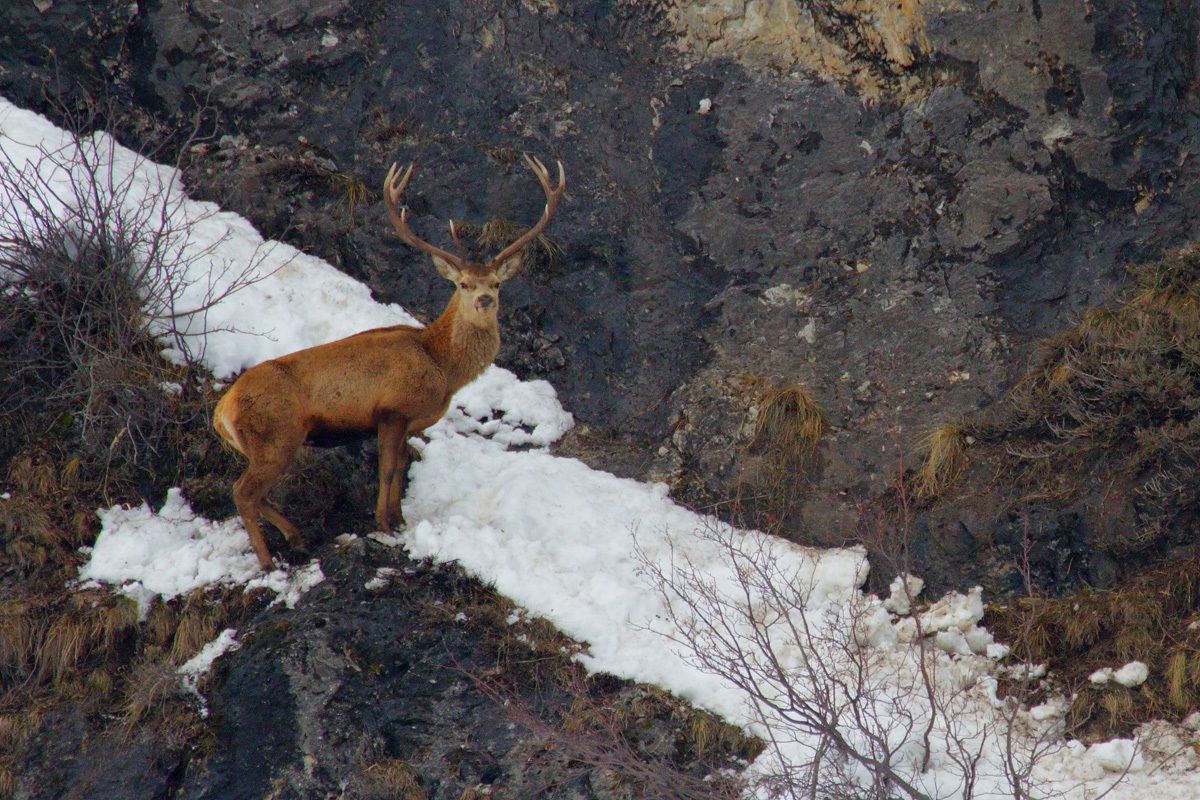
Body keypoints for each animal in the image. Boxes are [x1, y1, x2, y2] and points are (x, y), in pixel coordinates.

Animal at [212, 154, 565, 570]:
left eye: (496, 283)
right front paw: (383, 522)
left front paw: (399, 519)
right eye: (463, 284)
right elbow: (386, 470)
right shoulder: (391, 410)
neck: (441, 367)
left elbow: (399, 471)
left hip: (268, 443)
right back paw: (268, 561)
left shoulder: (410, 422)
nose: (484, 300)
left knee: (256, 493)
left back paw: (296, 536)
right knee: (243, 492)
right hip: (276, 435)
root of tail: (222, 410)